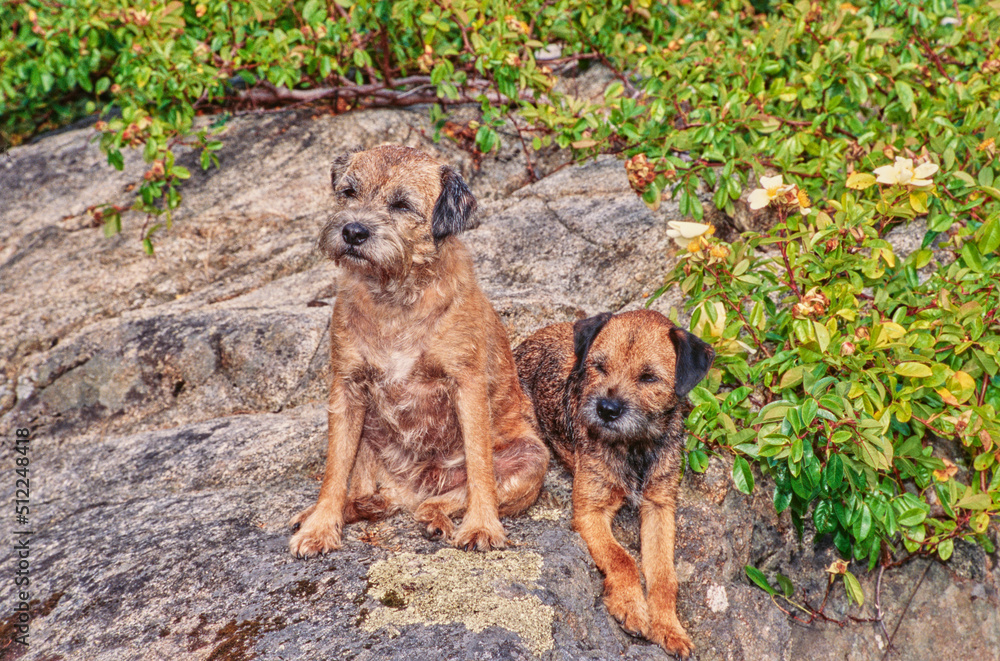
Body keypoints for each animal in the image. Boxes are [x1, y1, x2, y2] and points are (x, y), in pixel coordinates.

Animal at [286, 146, 552, 556]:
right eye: (348, 192)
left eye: (402, 205)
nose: (353, 231)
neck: (394, 297)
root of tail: (405, 494)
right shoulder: (346, 389)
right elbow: (334, 468)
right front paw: (320, 526)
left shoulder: (467, 386)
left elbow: (479, 466)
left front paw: (482, 526)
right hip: (368, 445)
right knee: (364, 493)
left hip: (532, 458)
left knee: (445, 498)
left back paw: (435, 518)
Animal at [516, 310, 712, 656]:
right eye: (599, 367)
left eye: (649, 377)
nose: (607, 409)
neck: (635, 446)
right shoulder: (590, 512)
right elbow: (622, 558)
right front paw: (631, 606)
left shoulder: (660, 507)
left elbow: (665, 575)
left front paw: (668, 626)